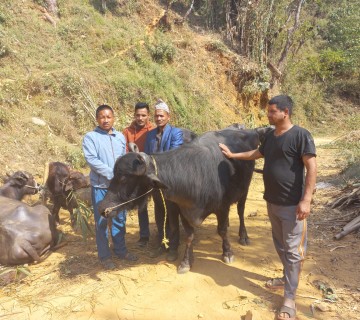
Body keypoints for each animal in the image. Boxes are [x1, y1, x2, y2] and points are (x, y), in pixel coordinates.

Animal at [98, 127, 270, 272]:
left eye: (124, 179)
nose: (102, 208)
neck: (195, 174)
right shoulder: (183, 209)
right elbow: (189, 236)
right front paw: (186, 262)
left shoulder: (222, 207)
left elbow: (222, 231)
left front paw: (227, 252)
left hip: (245, 189)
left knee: (241, 212)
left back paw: (243, 236)